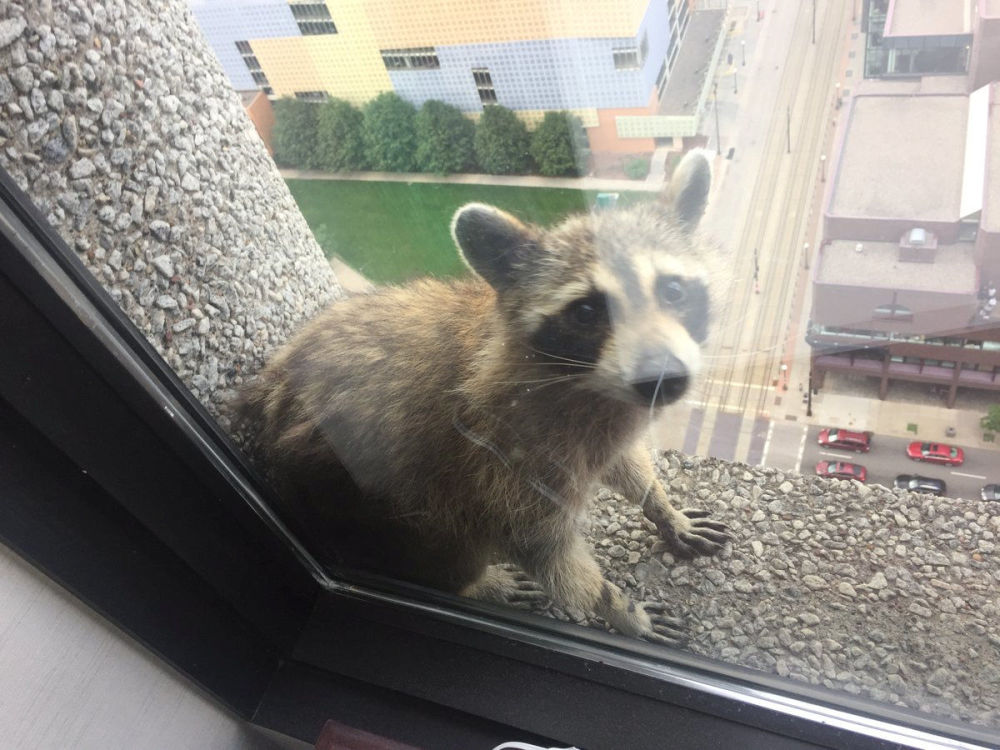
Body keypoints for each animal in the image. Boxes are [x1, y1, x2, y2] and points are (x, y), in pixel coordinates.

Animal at [239, 149, 730, 644]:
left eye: (672, 290)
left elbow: (624, 462)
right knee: (444, 538)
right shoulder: (504, 456)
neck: (584, 383)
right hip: (367, 507)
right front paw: (618, 607)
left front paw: (660, 504)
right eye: (588, 312)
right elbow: (544, 553)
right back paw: (474, 583)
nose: (664, 379)